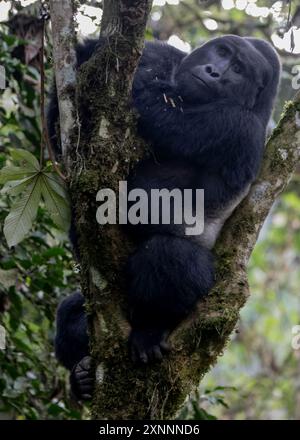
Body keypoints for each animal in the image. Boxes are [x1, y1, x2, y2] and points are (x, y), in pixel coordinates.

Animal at [47, 34, 282, 398]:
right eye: (223, 52)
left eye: (238, 69)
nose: (214, 71)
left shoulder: (237, 125)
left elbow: (151, 107)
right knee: (70, 313)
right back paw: (82, 374)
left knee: (168, 255)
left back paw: (152, 329)